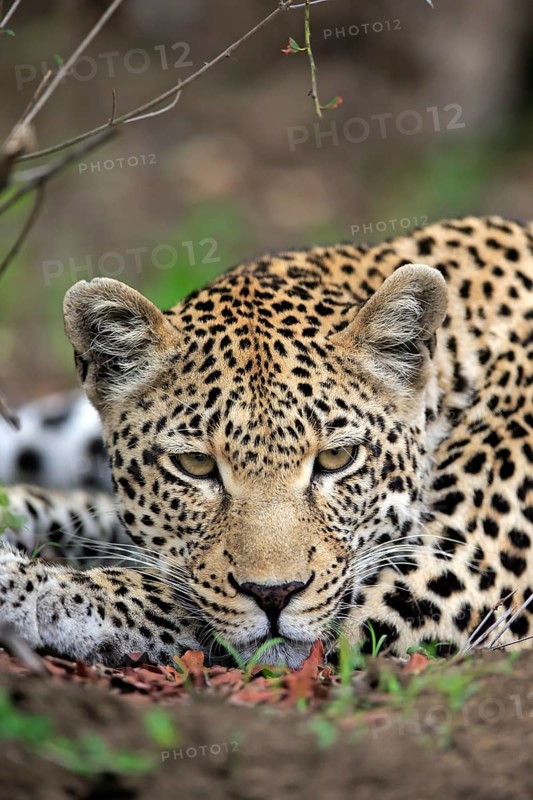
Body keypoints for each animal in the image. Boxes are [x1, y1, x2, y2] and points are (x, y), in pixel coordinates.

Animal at [0, 215, 532, 669]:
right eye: (196, 466)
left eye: (337, 458)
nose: (274, 595)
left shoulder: (450, 576)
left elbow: (158, 595)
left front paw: (29, 587)